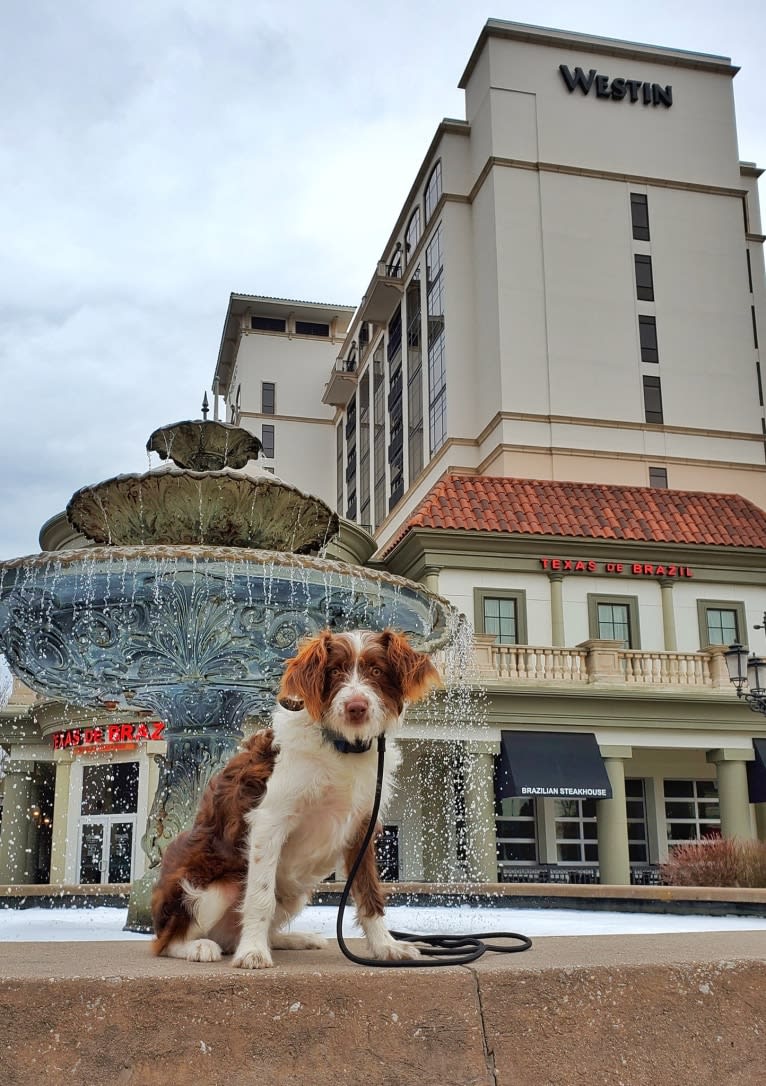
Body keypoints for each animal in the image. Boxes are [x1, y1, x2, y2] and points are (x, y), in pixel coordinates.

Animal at [152, 629, 438, 968]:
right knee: (167, 942)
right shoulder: (268, 822)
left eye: (377, 671)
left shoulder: (362, 827)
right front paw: (252, 952)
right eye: (334, 671)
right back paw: (200, 947)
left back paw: (293, 939)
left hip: (295, 892)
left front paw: (386, 946)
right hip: (214, 887)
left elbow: (369, 893)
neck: (341, 746)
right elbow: (259, 898)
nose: (356, 707)